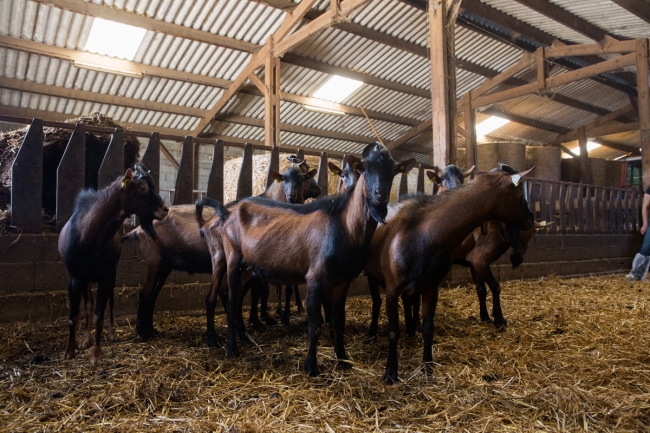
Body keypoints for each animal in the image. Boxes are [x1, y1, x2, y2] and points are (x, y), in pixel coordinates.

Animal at [202, 143, 412, 374]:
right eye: (365, 169)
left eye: (393, 171)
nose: (380, 194)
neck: (344, 225)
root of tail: (228, 213)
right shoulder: (315, 278)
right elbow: (315, 325)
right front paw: (311, 366)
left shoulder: (341, 281)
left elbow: (338, 320)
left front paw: (342, 358)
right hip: (232, 260)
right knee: (230, 302)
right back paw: (232, 349)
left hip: (247, 268)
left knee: (236, 299)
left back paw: (242, 338)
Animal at [362, 167, 536, 384]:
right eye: (520, 192)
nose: (531, 218)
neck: (423, 236)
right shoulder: (393, 288)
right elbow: (393, 331)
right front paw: (390, 373)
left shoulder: (430, 288)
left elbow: (428, 328)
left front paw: (427, 367)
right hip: (373, 276)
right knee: (377, 302)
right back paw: (372, 333)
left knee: (408, 302)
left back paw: (411, 329)